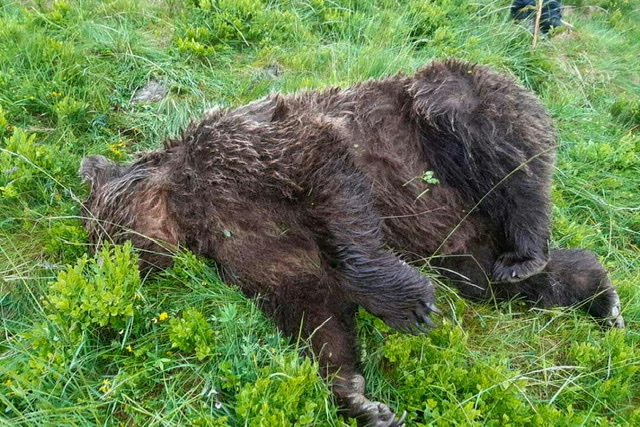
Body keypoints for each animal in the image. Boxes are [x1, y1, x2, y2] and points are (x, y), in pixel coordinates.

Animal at [80, 59, 624, 424]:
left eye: (99, 231)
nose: (105, 263)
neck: (189, 207)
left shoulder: (253, 151)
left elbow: (329, 183)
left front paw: (410, 306)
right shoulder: (248, 245)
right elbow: (310, 307)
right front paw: (362, 400)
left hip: (447, 114)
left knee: (497, 150)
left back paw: (528, 248)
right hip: (461, 241)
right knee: (491, 281)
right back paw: (597, 295)